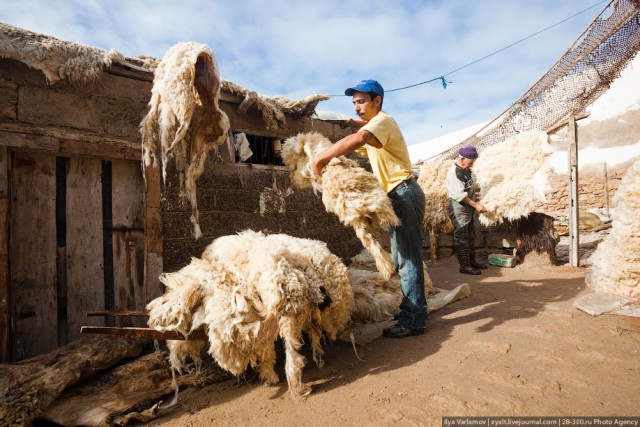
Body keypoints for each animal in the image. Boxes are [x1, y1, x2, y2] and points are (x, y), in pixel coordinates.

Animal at [282, 132, 398, 282]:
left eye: (294, 162)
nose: (292, 177)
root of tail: (363, 207)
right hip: (366, 223)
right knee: (373, 242)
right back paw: (387, 269)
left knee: (373, 243)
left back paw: (387, 270)